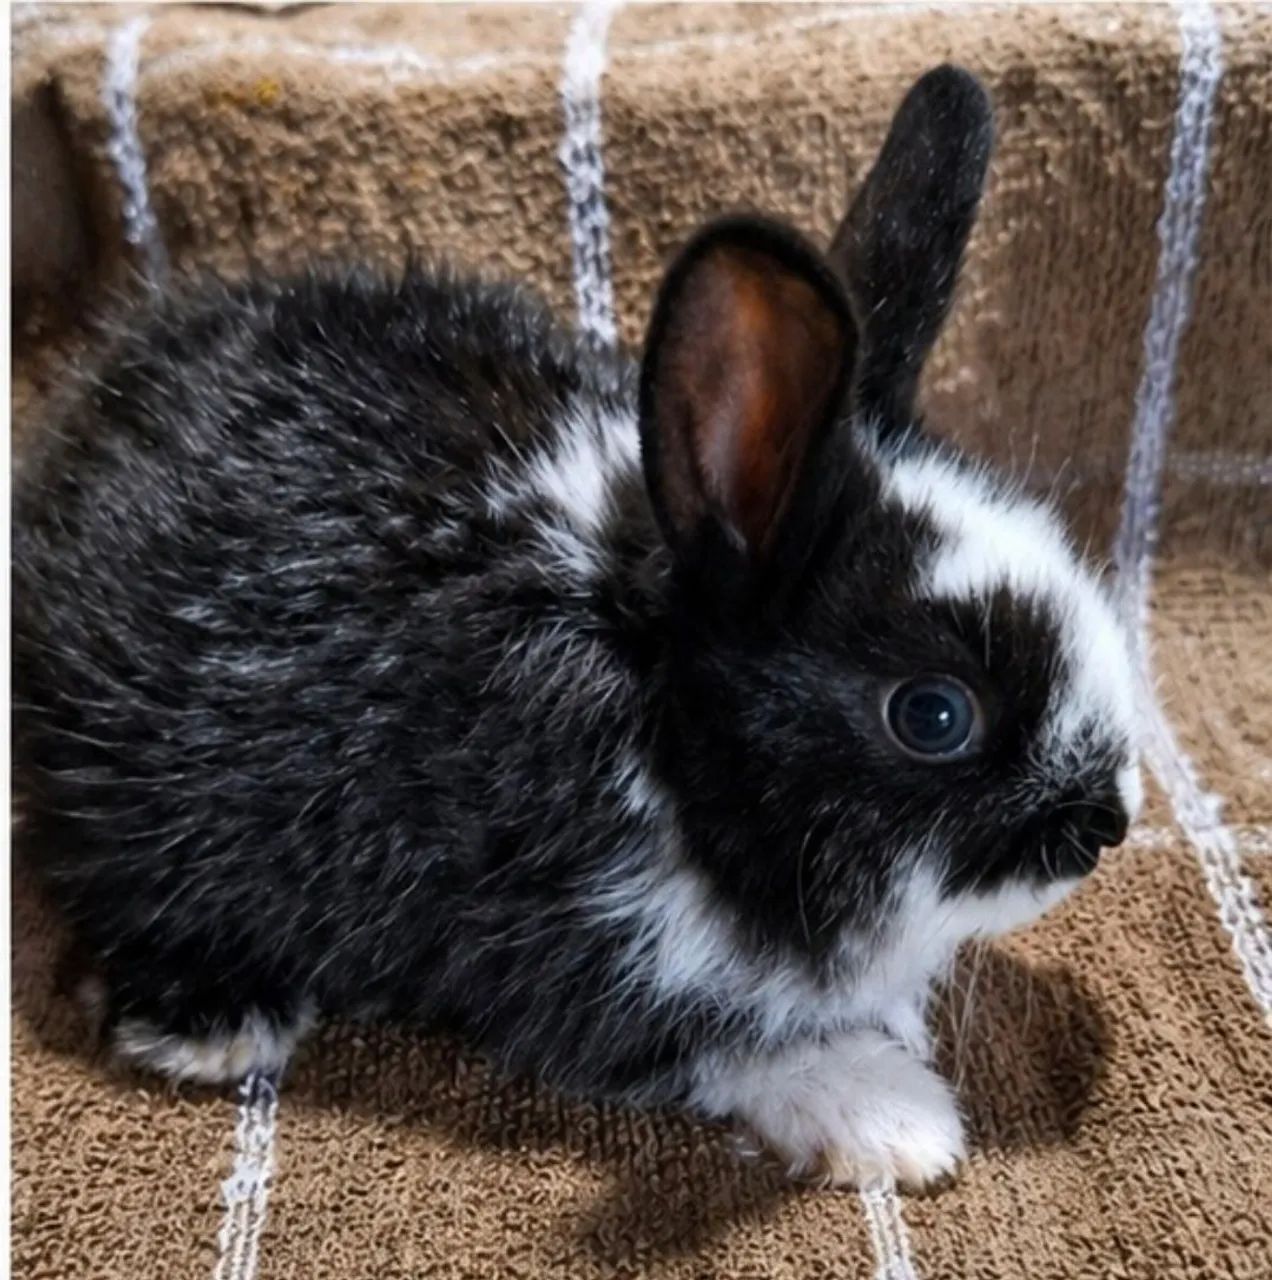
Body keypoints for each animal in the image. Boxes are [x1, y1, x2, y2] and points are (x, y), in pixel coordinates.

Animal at [12, 65, 1141, 1190]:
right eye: (934, 713)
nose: (1105, 826)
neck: (658, 708)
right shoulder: (571, 946)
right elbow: (716, 1042)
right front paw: (889, 1114)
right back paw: (213, 1021)